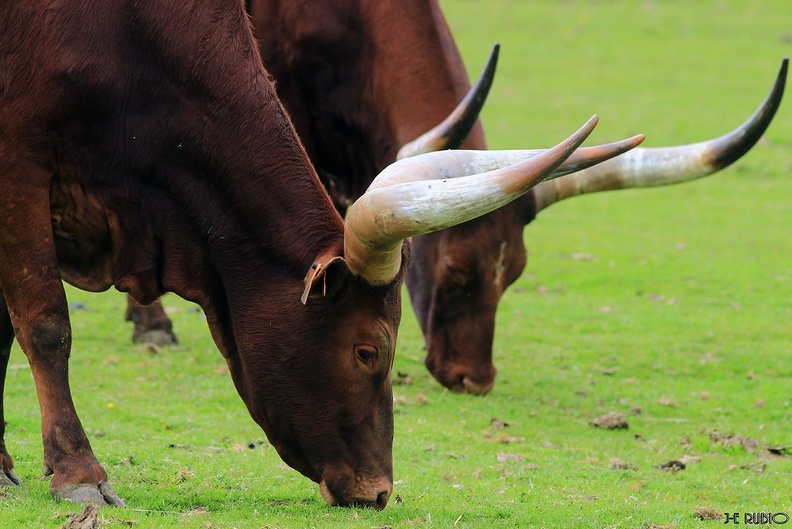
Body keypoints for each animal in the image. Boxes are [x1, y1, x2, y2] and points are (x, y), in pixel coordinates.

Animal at [0, 0, 636, 508]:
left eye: (515, 276)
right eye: (368, 351)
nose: (377, 492)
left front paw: (4, 466)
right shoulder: (19, 166)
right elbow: (46, 326)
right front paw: (78, 472)